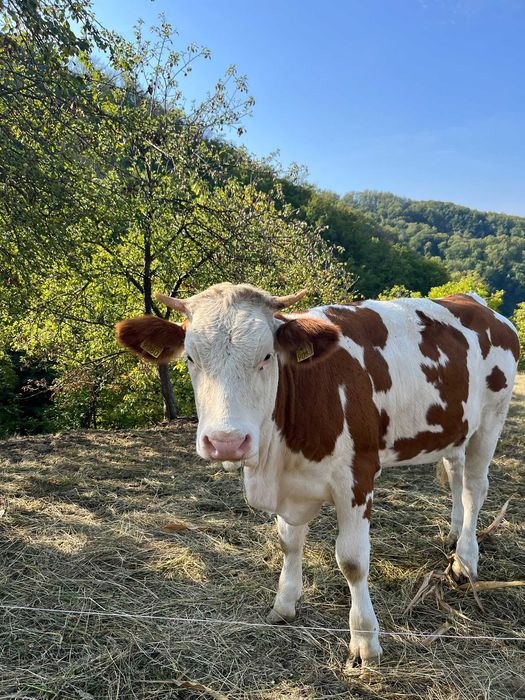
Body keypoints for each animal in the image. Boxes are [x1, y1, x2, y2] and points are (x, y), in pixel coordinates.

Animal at [115, 283, 520, 668]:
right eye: (190, 358)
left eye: (267, 356)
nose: (226, 442)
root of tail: (476, 302)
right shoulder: (290, 486)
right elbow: (289, 543)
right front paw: (284, 604)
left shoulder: (357, 477)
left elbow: (352, 561)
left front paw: (365, 642)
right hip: (457, 427)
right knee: (455, 473)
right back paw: (453, 535)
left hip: (492, 418)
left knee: (474, 487)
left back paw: (465, 561)